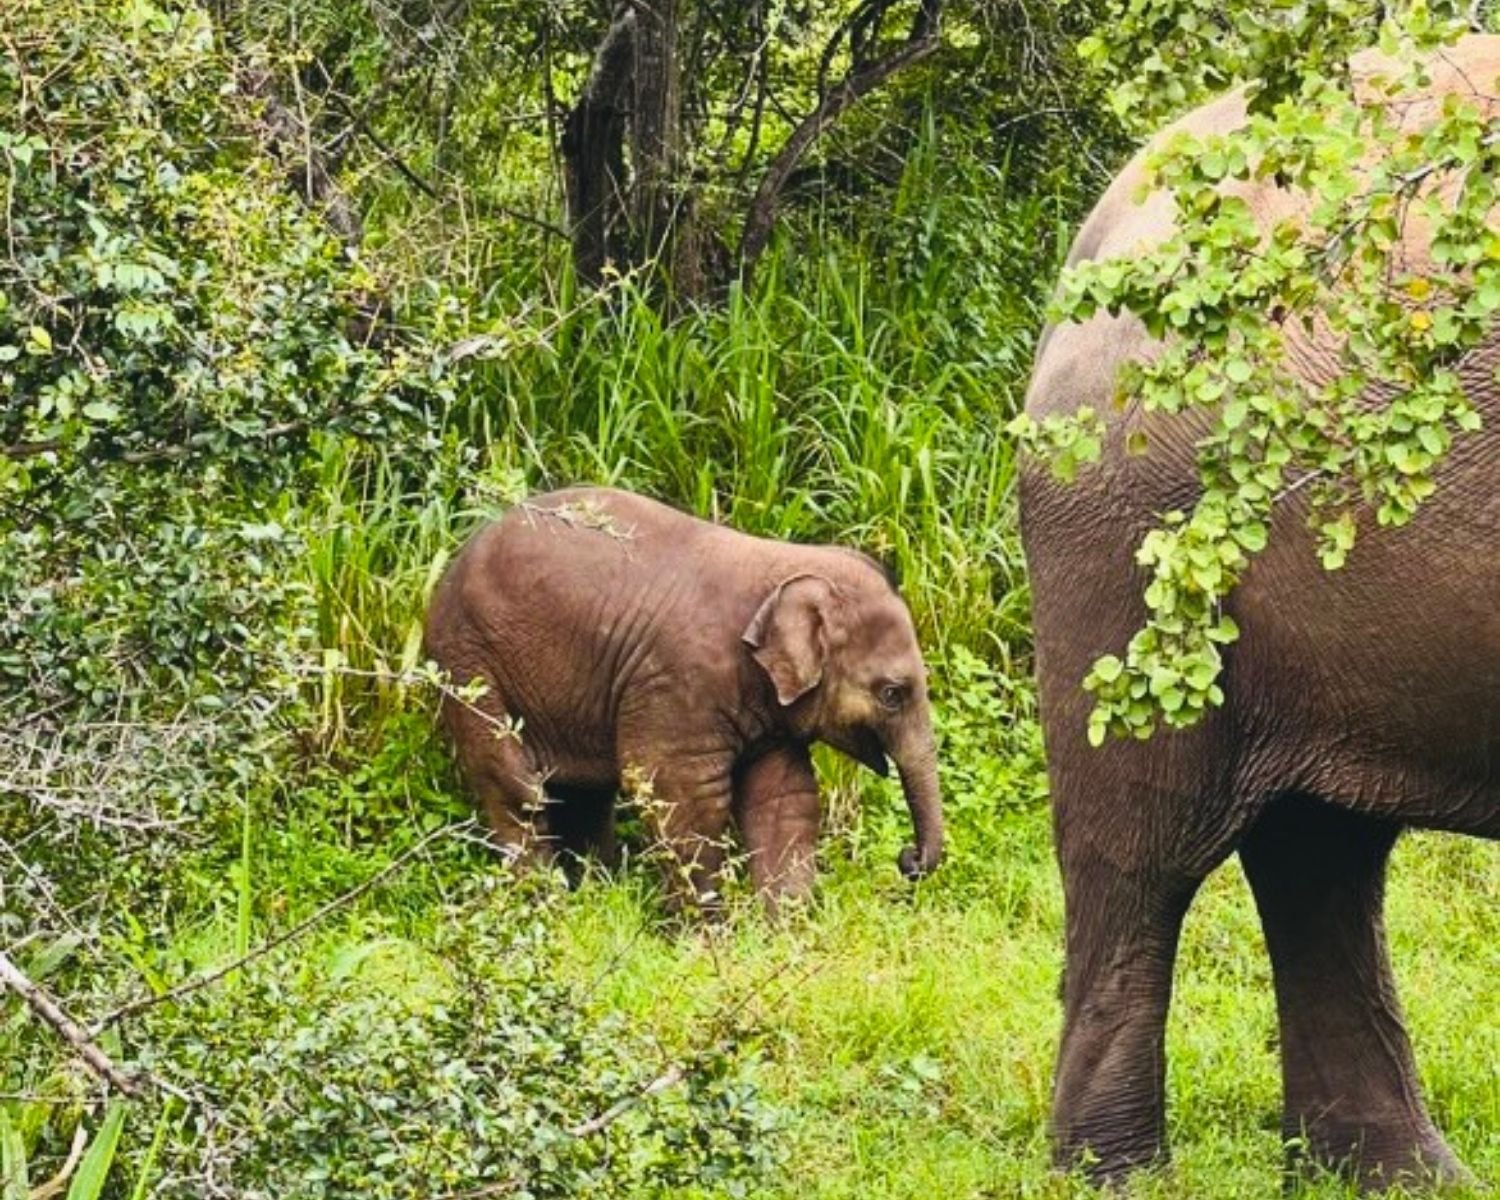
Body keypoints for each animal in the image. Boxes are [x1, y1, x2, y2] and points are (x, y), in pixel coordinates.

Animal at [423, 486, 943, 912]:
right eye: (892, 694)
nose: (908, 859)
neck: (783, 567)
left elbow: (784, 799)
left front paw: (787, 933)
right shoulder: (678, 679)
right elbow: (680, 793)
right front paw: (709, 936)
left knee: (586, 794)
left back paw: (597, 896)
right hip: (467, 663)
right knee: (517, 785)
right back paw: (545, 906)